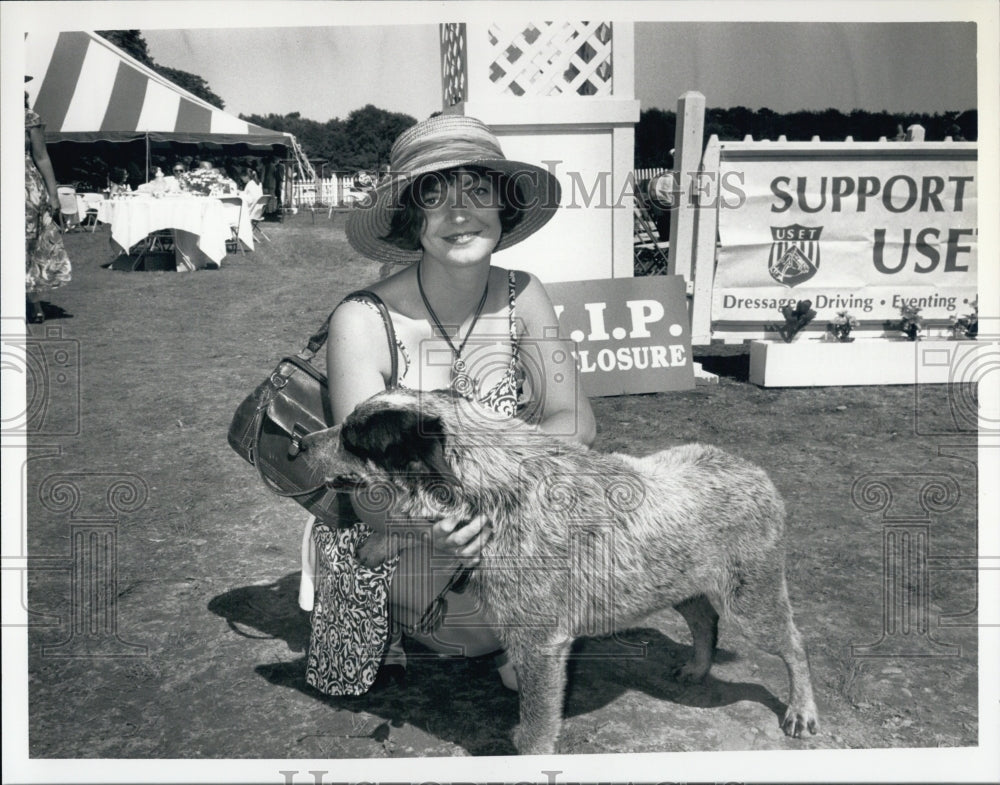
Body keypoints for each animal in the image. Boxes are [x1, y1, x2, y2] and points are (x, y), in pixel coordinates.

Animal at [300, 388, 816, 752]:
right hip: (678, 583)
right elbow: (408, 522)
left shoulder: (540, 644)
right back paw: (697, 665)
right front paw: (377, 544)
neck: (498, 488)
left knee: (793, 643)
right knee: (704, 620)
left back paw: (801, 709)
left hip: (751, 602)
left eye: (353, 438)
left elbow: (538, 721)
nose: (298, 443)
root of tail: (757, 473)